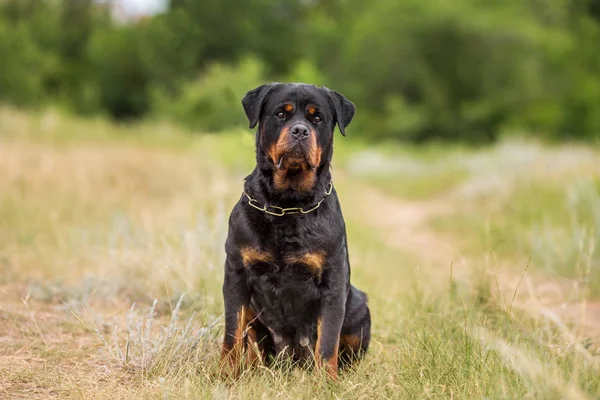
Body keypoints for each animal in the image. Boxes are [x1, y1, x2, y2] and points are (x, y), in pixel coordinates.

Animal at [221, 82, 370, 378]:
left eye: (317, 118)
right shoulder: (236, 273)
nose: (300, 130)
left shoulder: (333, 282)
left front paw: (326, 382)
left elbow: (328, 341)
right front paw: (224, 375)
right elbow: (232, 332)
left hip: (360, 306)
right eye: (281, 114)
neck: (287, 205)